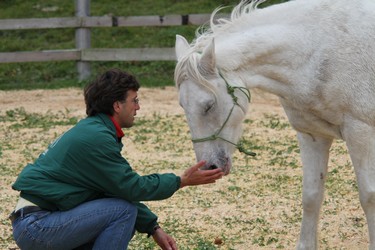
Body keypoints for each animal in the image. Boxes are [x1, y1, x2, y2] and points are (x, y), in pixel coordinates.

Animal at [175, 0, 375, 248]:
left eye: (209, 105)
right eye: (183, 106)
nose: (208, 167)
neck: (315, 48)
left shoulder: (360, 133)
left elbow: (368, 196)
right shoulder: (312, 135)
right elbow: (312, 196)